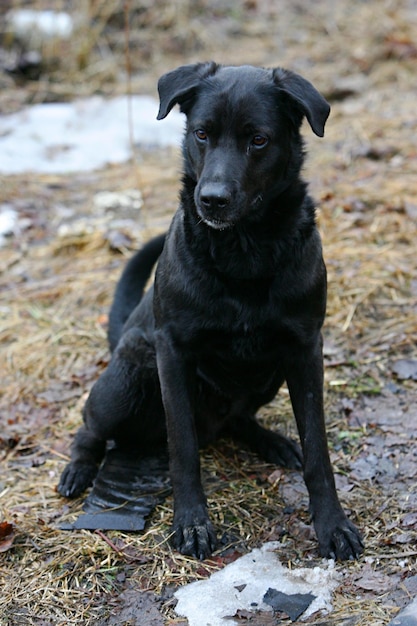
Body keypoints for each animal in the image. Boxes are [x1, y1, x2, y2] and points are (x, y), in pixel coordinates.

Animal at [57, 62, 360, 560]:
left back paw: (271, 441)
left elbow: (318, 451)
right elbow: (182, 449)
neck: (244, 250)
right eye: (202, 133)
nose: (212, 199)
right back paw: (78, 469)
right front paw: (192, 523)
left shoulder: (304, 350)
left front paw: (332, 525)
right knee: (91, 427)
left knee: (239, 418)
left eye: (258, 139)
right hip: (127, 380)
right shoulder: (172, 353)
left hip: (269, 375)